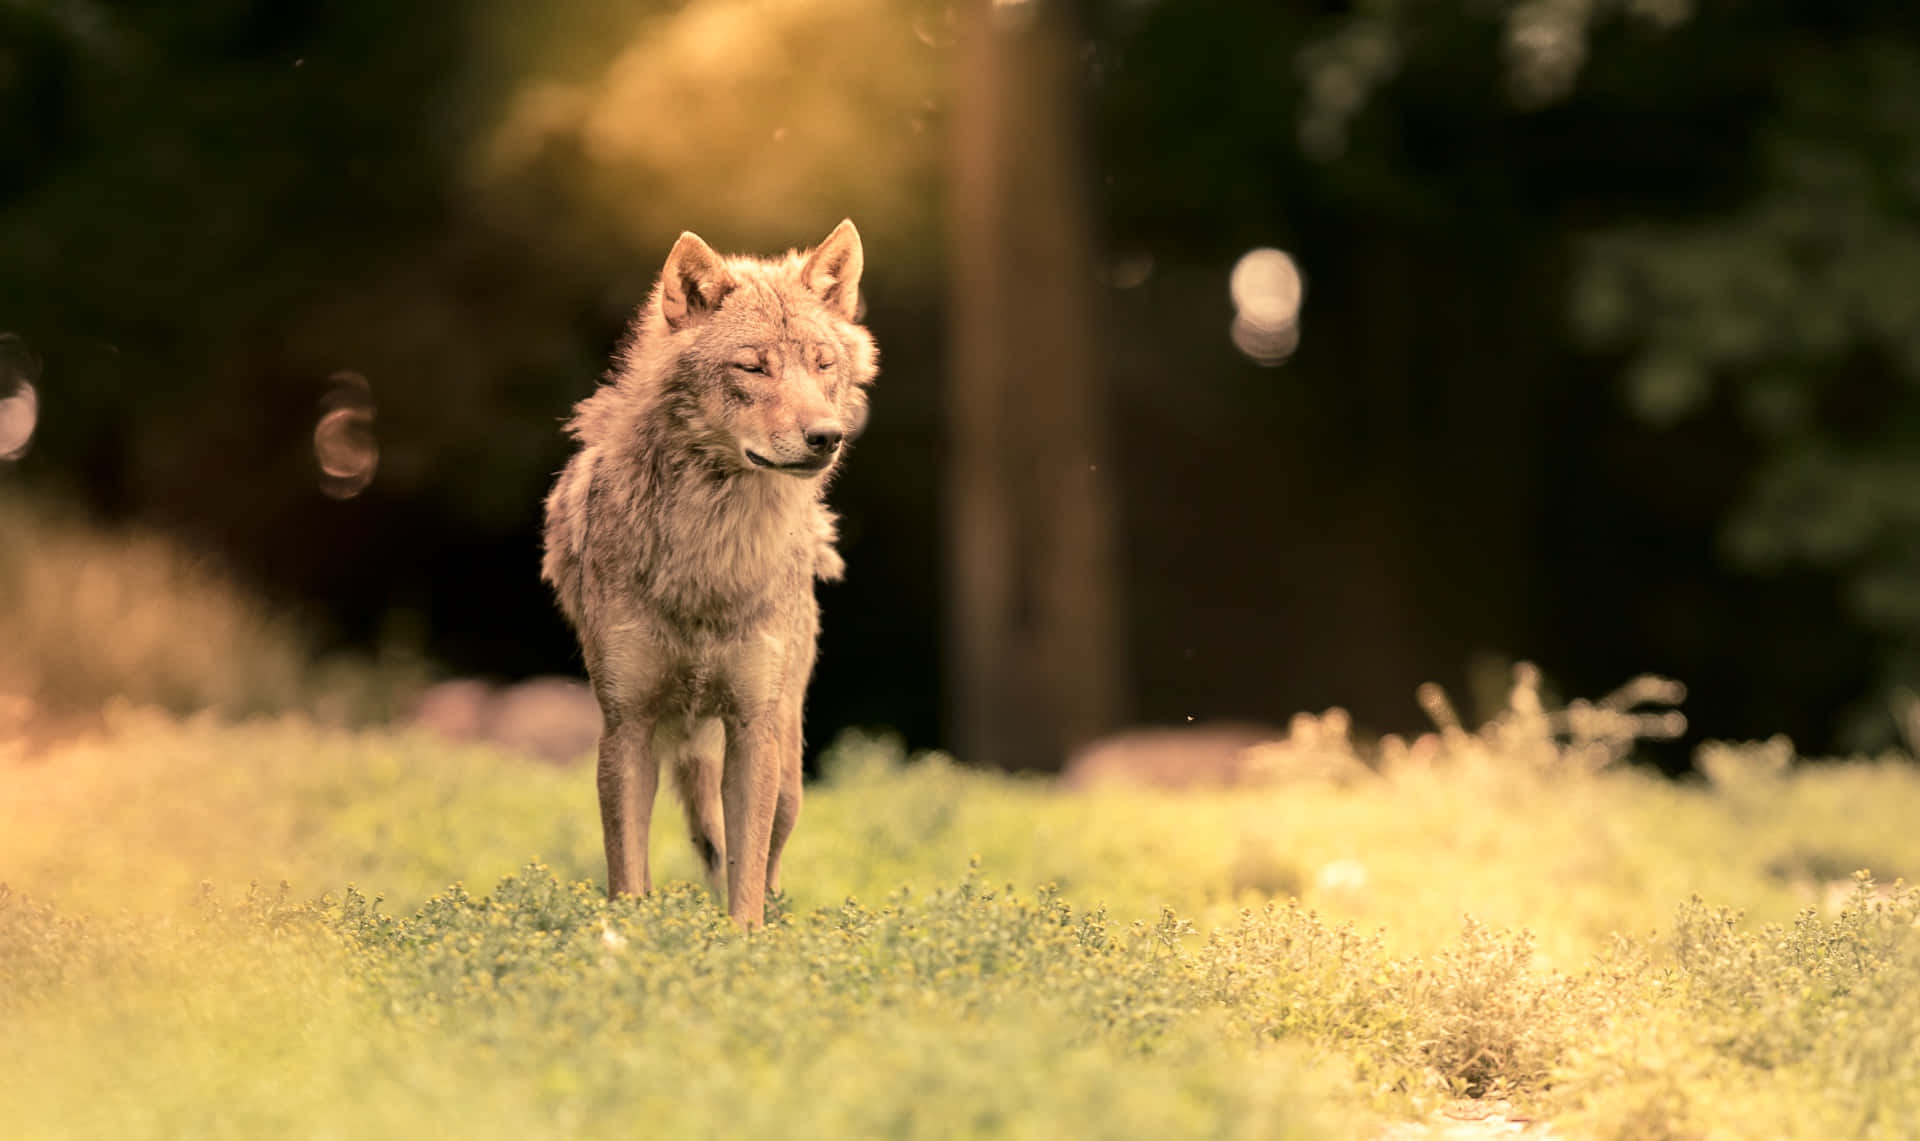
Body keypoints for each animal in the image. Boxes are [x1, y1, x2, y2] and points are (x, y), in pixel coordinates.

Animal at [541, 220, 876, 929]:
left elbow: (744, 889)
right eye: (753, 366)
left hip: (787, 772)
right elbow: (628, 878)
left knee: (766, 864)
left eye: (822, 365)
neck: (709, 559)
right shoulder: (627, 728)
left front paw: (739, 947)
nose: (826, 436)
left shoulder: (751, 731)